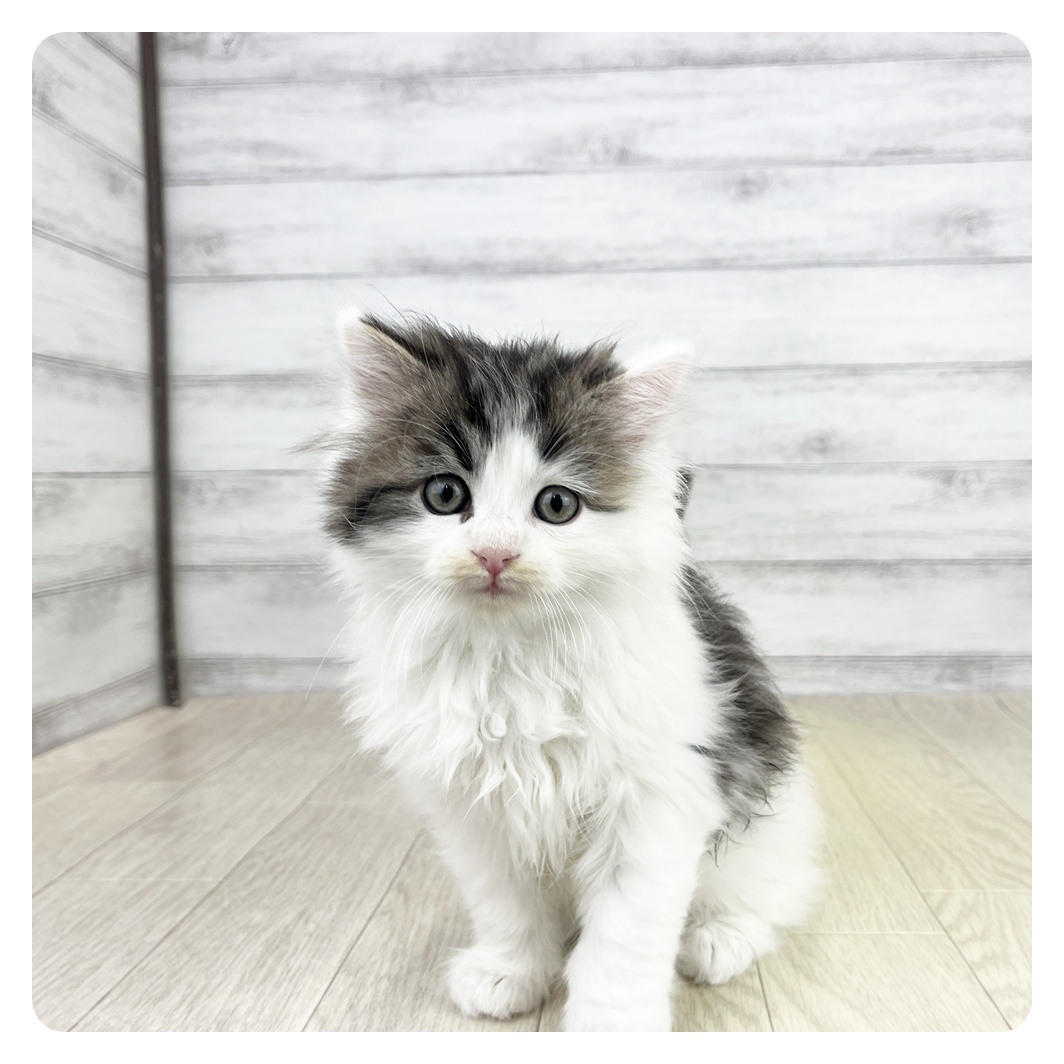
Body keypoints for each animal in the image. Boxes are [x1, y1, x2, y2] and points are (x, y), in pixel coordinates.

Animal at [318, 310, 823, 1032]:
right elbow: (505, 905)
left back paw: (719, 940)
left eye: (557, 505)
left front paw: (611, 1027)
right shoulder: (471, 806)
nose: (495, 554)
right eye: (445, 494)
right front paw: (509, 975)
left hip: (767, 823)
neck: (510, 657)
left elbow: (623, 936)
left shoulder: (654, 799)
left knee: (775, 893)